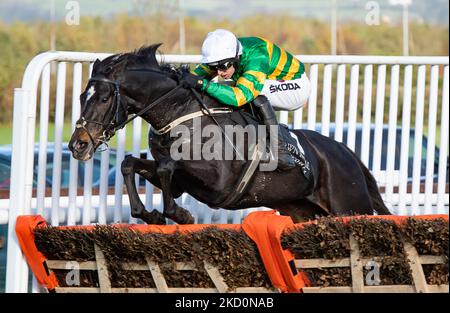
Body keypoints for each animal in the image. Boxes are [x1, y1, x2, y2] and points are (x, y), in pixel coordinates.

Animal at [67, 44, 390, 224]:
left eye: (104, 98)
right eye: (82, 96)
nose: (78, 145)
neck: (180, 113)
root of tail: (347, 153)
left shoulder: (219, 181)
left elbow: (168, 166)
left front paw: (180, 214)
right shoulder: (182, 182)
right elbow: (130, 164)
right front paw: (151, 214)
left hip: (349, 208)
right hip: (304, 212)